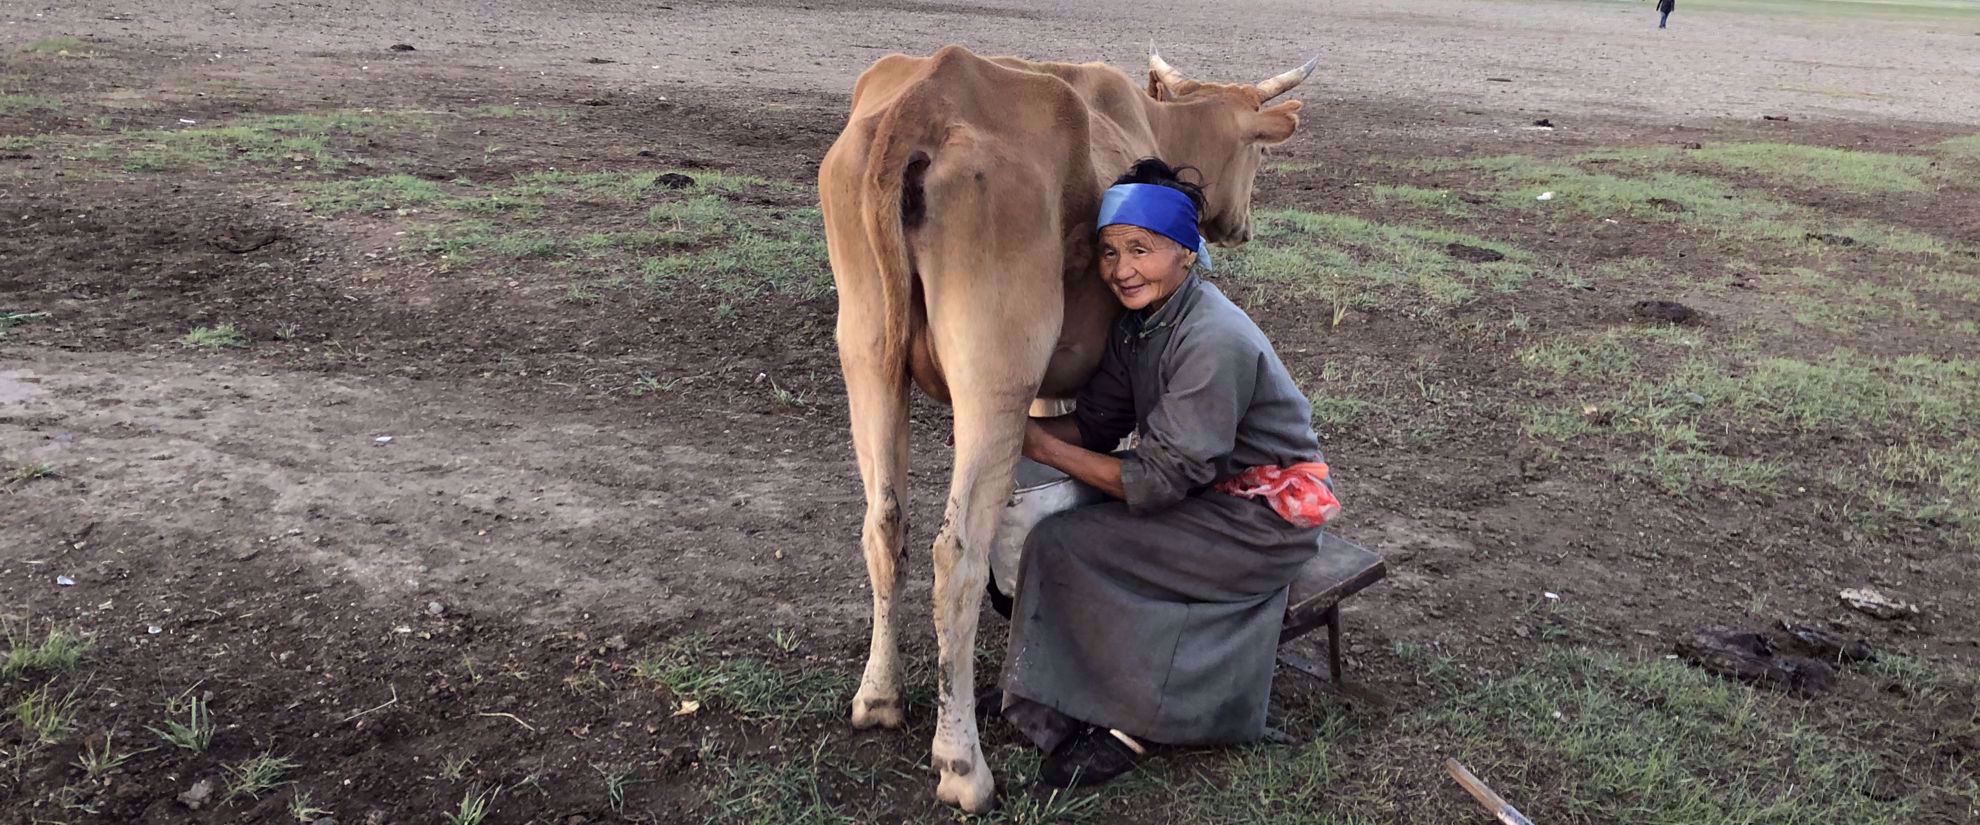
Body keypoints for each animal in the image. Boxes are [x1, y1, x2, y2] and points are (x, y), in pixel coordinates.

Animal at [817, 44, 1314, 811]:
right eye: (1257, 152)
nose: (1241, 225)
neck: (1153, 129)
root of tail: (927, 96)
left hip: (867, 352)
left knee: (883, 525)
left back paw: (879, 698)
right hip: (994, 372)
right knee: (955, 553)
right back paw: (963, 764)